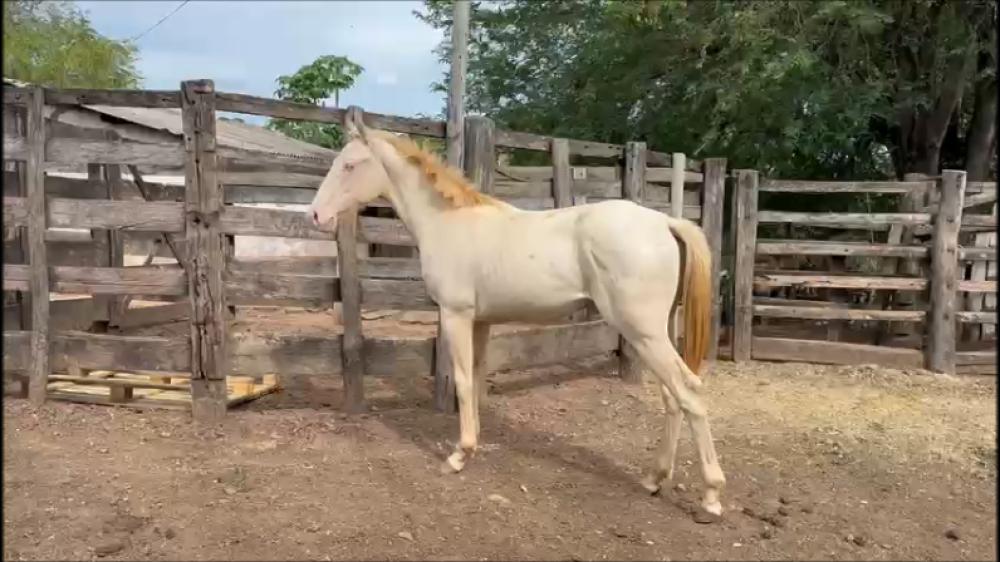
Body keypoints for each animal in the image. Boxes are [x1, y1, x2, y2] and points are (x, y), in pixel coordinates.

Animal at [308, 108, 727, 520]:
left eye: (350, 165)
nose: (315, 215)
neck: (447, 222)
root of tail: (665, 222)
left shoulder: (456, 315)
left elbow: (463, 380)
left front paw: (458, 456)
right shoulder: (481, 321)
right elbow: (477, 378)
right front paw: (474, 445)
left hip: (643, 333)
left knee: (690, 393)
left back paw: (710, 498)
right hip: (657, 332)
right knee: (672, 399)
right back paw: (654, 479)